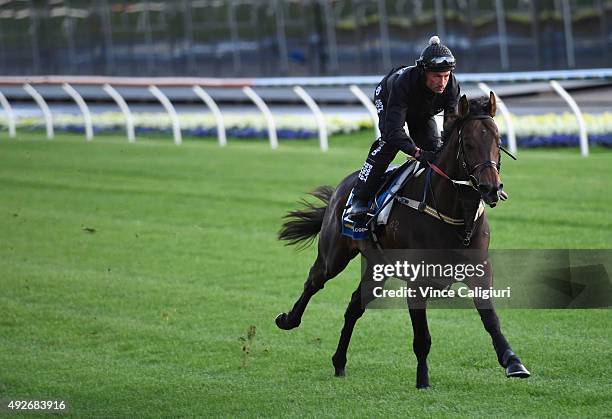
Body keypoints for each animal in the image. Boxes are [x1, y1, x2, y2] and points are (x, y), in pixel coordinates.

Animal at [278, 93, 532, 388]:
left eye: (498, 141)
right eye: (468, 144)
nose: (491, 188)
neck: (456, 214)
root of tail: (342, 188)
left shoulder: (479, 271)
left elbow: (490, 318)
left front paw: (513, 362)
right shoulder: (417, 281)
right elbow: (422, 337)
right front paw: (422, 380)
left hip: (377, 267)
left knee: (354, 306)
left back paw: (339, 362)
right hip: (334, 255)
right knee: (314, 281)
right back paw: (288, 320)